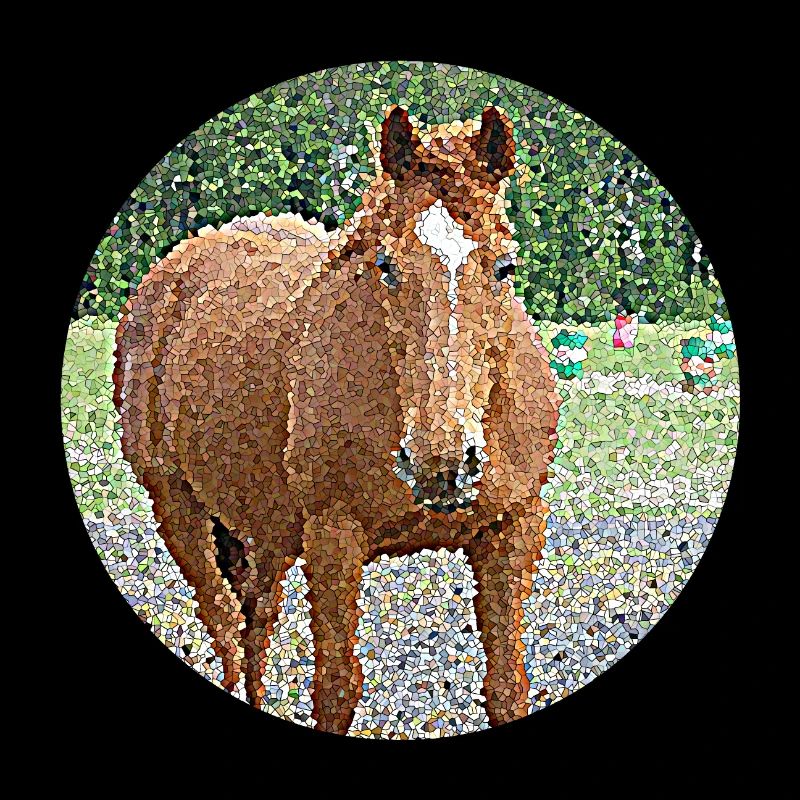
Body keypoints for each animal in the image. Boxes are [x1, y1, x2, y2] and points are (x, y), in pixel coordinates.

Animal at [113, 104, 561, 735]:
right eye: (386, 266)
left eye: (505, 266)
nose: (442, 463)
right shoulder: (332, 537)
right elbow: (336, 691)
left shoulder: (511, 530)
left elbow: (505, 689)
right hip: (178, 507)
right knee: (227, 629)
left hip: (264, 532)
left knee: (255, 627)